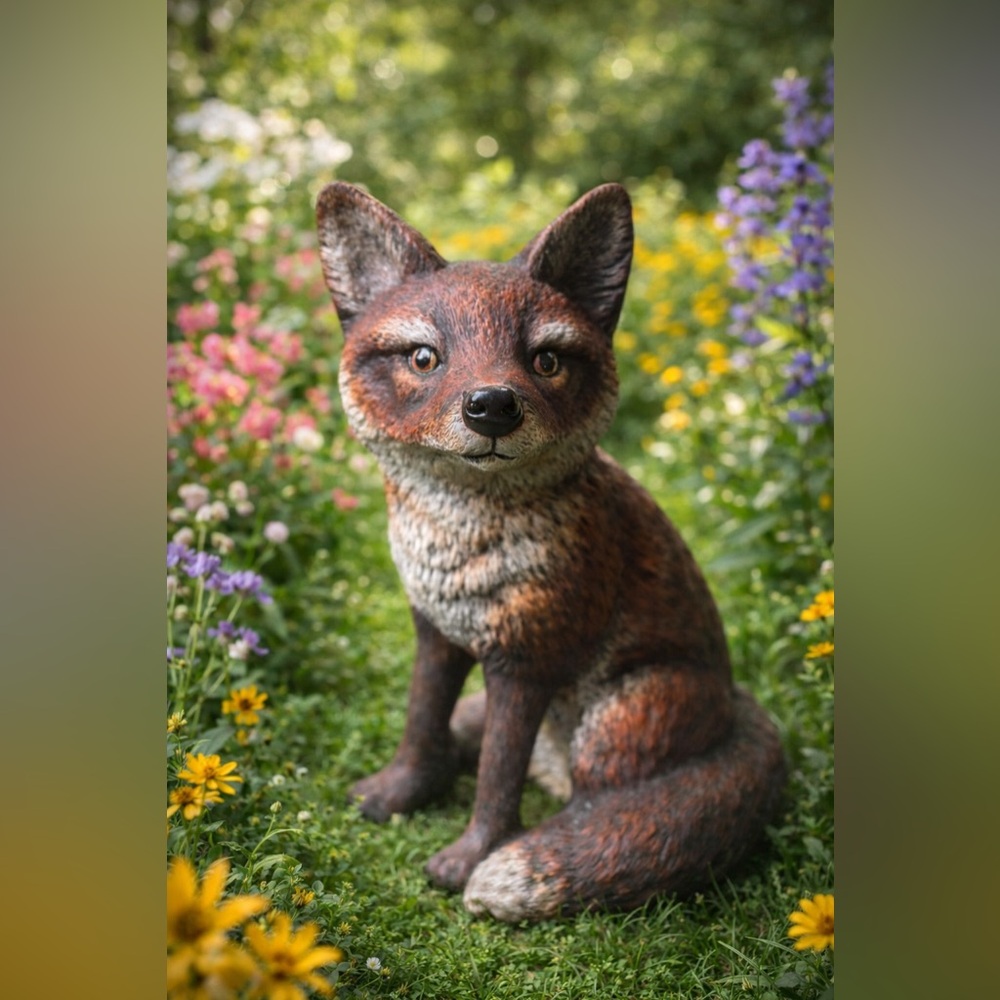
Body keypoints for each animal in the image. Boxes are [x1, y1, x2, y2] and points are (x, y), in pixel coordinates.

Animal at [315, 180, 787, 922]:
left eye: (546, 361)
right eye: (424, 357)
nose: (492, 406)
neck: (458, 546)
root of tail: (737, 706)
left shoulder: (526, 659)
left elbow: (497, 780)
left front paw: (470, 859)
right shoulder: (438, 632)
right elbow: (421, 723)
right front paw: (397, 795)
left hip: (618, 718)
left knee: (604, 807)